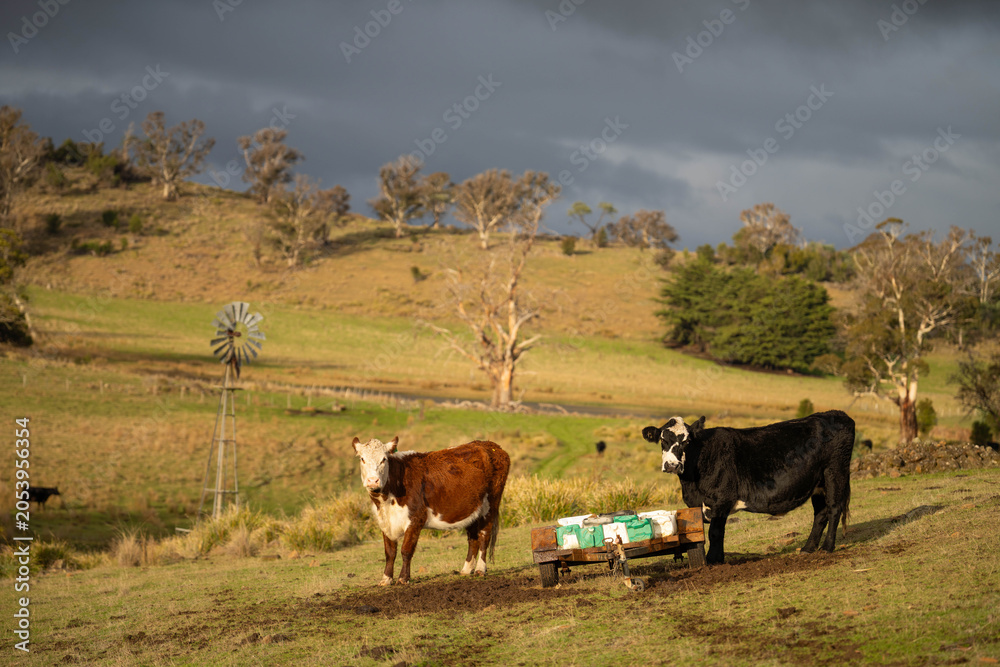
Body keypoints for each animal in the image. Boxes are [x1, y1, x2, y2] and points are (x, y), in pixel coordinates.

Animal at [352, 436, 510, 586]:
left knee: (484, 535)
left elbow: (406, 550)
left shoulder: (416, 519)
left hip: (490, 504)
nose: (373, 480)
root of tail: (490, 445)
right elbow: (390, 552)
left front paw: (403, 578)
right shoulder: (385, 522)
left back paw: (480, 569)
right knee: (473, 538)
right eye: (362, 459)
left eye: (384, 459)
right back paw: (466, 570)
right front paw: (386, 579)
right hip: (472, 508)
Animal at [642, 410, 855, 565]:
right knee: (821, 513)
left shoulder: (722, 499)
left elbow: (715, 532)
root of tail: (838, 414)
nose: (672, 465)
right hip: (818, 483)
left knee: (834, 508)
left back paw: (827, 547)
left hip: (835, 472)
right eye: (663, 439)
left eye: (686, 441)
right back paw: (808, 549)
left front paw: (713, 561)